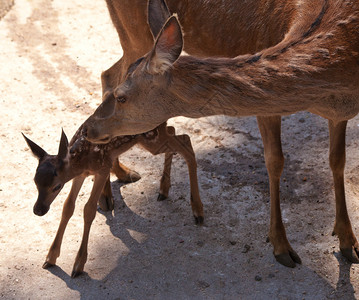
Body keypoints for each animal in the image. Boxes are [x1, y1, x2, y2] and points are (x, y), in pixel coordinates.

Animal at [23, 121, 202, 276]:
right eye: (35, 181)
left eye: (56, 186)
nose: (38, 210)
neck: (82, 159)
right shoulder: (80, 175)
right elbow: (68, 207)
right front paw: (50, 258)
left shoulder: (102, 168)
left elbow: (88, 210)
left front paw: (78, 265)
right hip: (154, 139)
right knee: (174, 131)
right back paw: (163, 190)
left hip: (152, 139)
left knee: (186, 141)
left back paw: (198, 212)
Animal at [83, 0, 359, 268]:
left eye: (122, 98)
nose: (87, 129)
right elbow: (275, 162)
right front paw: (281, 246)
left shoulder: (340, 112)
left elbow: (337, 160)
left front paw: (349, 243)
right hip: (132, 32)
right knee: (109, 73)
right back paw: (110, 191)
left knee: (108, 72)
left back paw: (131, 177)